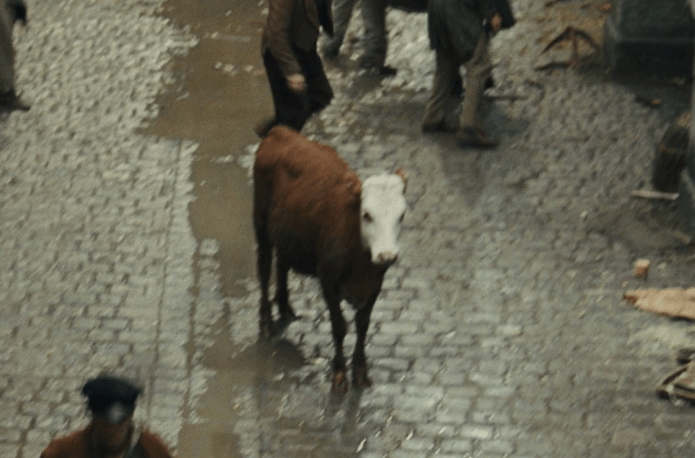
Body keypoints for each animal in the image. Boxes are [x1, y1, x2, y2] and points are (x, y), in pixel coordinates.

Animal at [253, 125, 407, 393]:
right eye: (366, 215)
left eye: (402, 215)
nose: (386, 255)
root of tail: (280, 131)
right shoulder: (327, 280)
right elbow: (339, 325)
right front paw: (339, 373)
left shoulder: (375, 284)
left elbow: (363, 324)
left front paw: (360, 371)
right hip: (261, 225)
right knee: (263, 268)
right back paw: (267, 320)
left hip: (287, 233)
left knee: (281, 264)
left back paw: (285, 307)